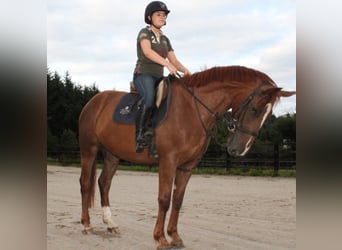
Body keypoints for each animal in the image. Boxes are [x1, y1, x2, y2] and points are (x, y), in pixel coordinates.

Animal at [79, 65, 296, 249]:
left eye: (267, 116)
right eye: (254, 109)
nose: (239, 150)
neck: (191, 109)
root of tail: (94, 101)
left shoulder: (187, 166)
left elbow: (178, 199)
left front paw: (174, 236)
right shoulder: (168, 162)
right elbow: (164, 199)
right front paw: (160, 238)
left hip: (112, 155)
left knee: (104, 183)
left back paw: (110, 223)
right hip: (89, 149)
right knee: (85, 184)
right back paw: (87, 224)